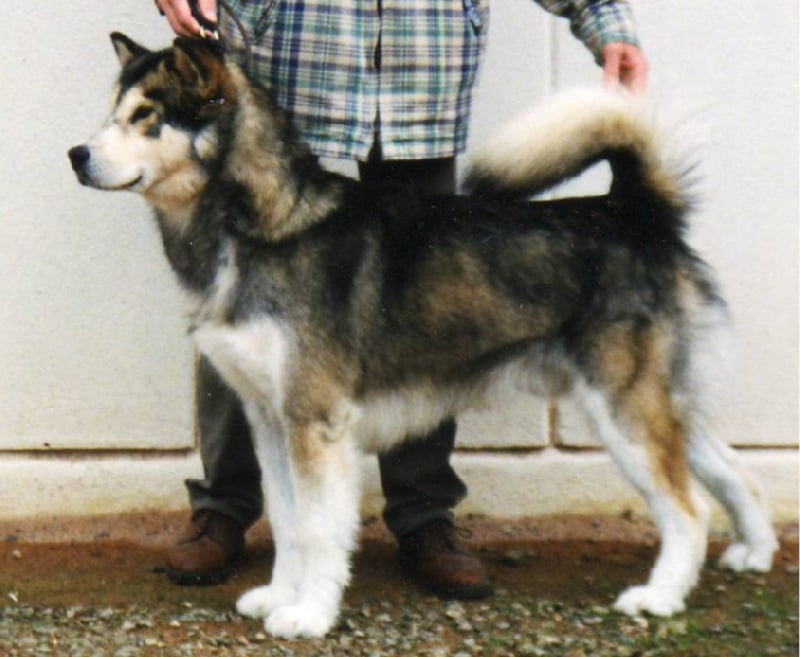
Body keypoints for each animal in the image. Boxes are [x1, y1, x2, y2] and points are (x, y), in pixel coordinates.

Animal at [69, 34, 776, 636]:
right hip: (660, 402)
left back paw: (659, 597)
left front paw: (309, 615)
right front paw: (278, 596)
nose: (76, 155)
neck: (266, 225)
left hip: (624, 410)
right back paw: (755, 550)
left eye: (145, 116)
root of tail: (633, 210)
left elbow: (319, 531)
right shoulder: (270, 421)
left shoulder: (315, 423)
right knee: (735, 469)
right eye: (112, 112)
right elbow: (290, 525)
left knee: (689, 509)